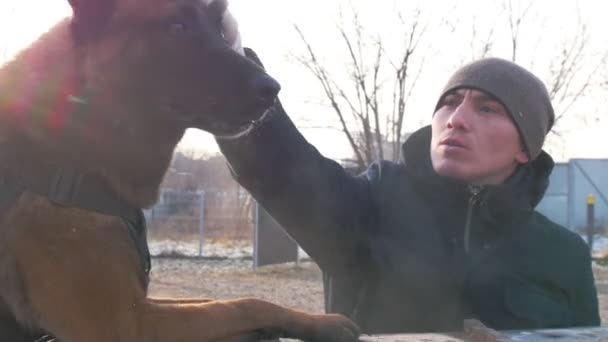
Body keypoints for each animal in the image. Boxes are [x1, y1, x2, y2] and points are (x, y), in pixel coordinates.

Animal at [0, 0, 360, 340]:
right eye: (177, 26)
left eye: (220, 31)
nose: (272, 88)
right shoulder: (128, 324)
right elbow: (242, 305)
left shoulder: (143, 304)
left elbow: (222, 301)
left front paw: (315, 321)